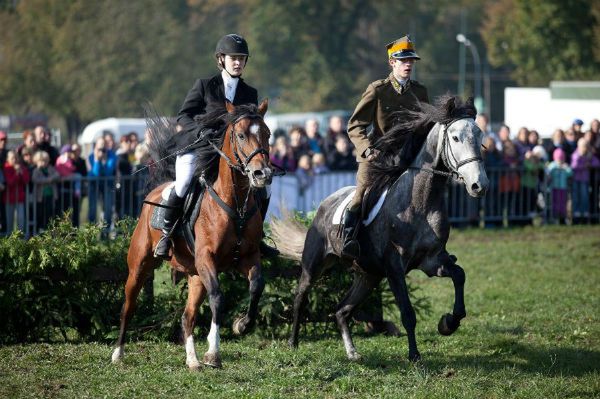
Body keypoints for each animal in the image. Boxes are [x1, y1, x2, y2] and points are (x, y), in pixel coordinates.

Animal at [111, 99, 274, 368]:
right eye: (241, 135)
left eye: (267, 134)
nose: (263, 174)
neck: (235, 204)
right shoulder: (206, 258)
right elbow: (217, 298)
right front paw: (213, 353)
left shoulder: (248, 257)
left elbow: (256, 287)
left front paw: (241, 325)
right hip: (139, 266)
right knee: (128, 306)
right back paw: (118, 353)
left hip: (195, 275)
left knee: (187, 317)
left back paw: (192, 361)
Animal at [272, 96, 488, 362]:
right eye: (456, 138)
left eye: (479, 135)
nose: (479, 185)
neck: (421, 202)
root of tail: (324, 204)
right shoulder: (395, 267)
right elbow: (407, 313)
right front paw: (414, 355)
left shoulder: (432, 261)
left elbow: (459, 275)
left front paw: (448, 323)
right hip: (314, 265)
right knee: (300, 298)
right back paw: (293, 342)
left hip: (369, 275)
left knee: (342, 310)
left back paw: (352, 352)